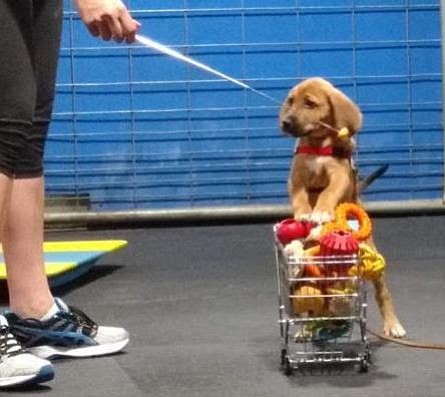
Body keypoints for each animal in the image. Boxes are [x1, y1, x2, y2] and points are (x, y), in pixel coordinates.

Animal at [280, 76, 406, 338]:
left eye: (309, 103)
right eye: (291, 101)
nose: (285, 123)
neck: (318, 142)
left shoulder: (339, 175)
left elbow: (328, 193)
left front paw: (321, 210)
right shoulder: (296, 176)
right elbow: (299, 197)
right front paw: (304, 212)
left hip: (373, 257)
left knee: (383, 292)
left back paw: (393, 324)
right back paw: (307, 328)